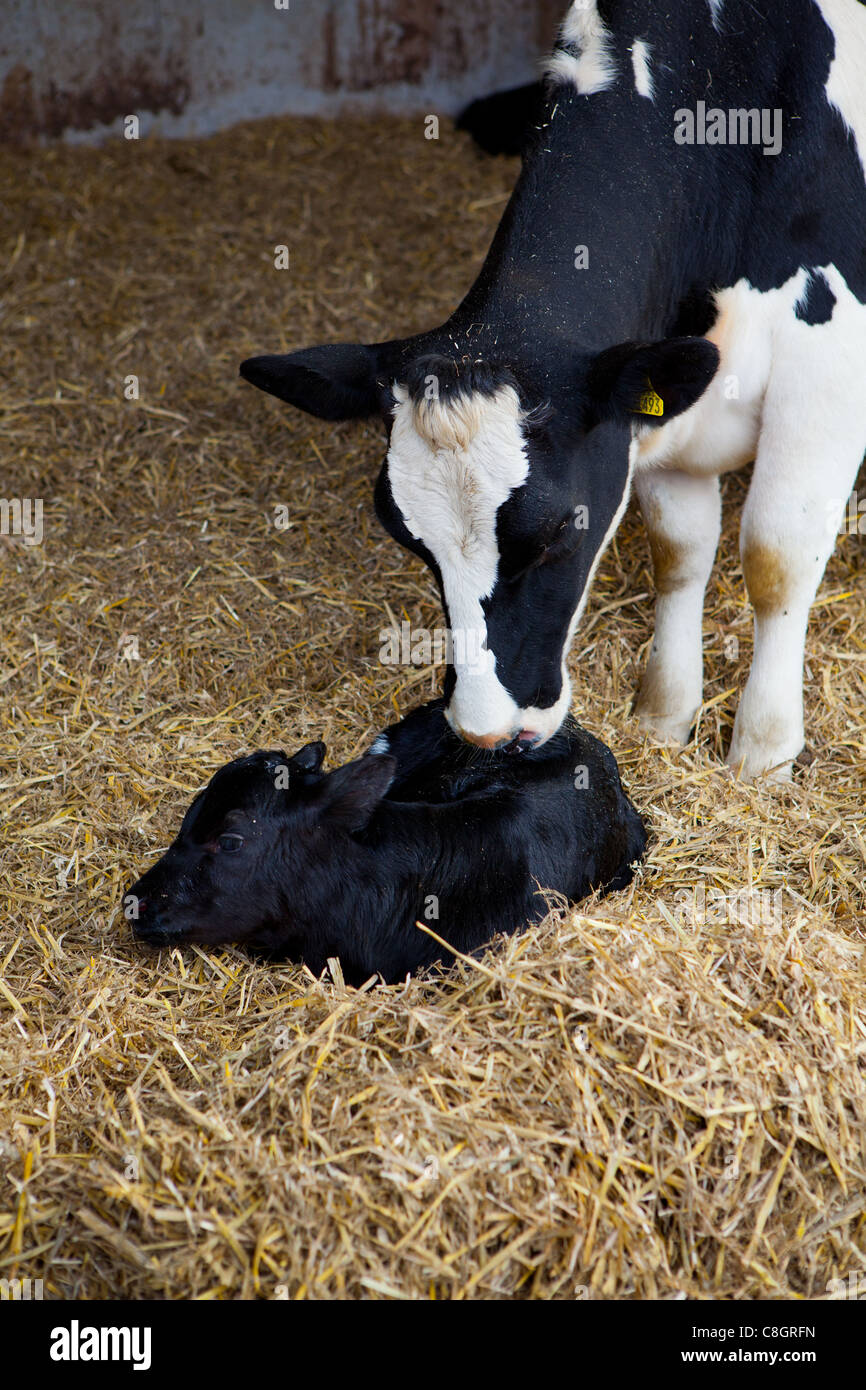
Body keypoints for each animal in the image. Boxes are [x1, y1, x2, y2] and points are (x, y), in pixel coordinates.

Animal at [239, 0, 866, 783]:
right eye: (410, 540)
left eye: (561, 529)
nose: (488, 734)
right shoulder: (653, 417)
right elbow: (680, 551)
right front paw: (665, 716)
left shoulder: (828, 363)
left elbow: (776, 558)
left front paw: (763, 754)